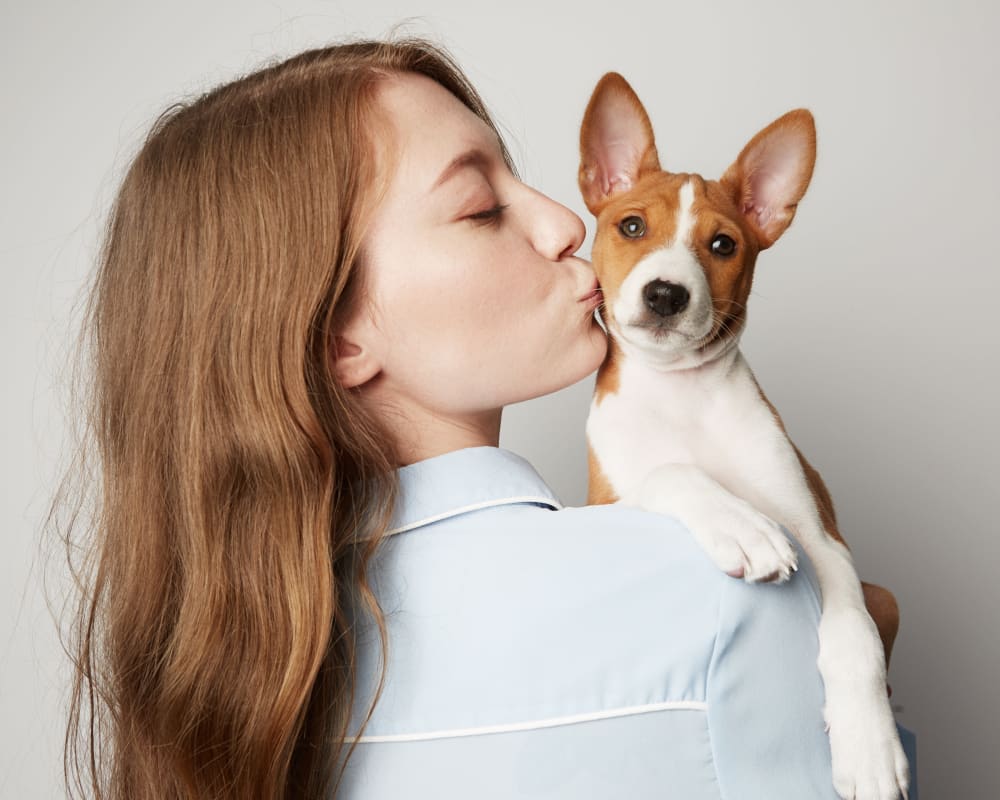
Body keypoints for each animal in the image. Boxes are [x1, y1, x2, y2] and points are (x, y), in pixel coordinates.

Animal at [580, 72, 916, 796]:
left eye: (723, 245)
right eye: (630, 226)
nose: (666, 294)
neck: (681, 395)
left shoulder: (825, 542)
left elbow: (852, 639)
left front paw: (869, 748)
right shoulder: (602, 505)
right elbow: (671, 472)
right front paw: (741, 525)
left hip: (886, 595)